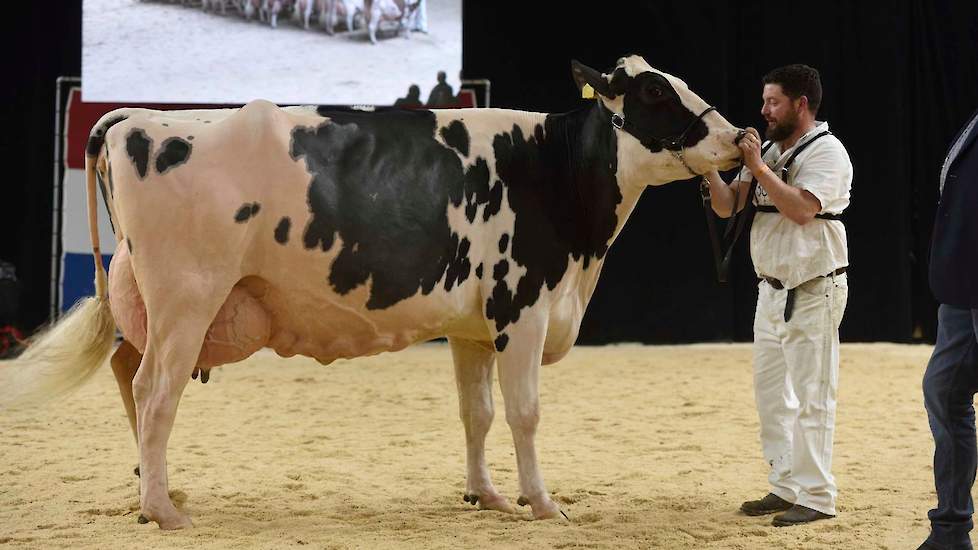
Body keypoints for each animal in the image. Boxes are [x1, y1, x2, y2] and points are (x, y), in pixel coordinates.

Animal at [1, 55, 740, 532]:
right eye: (655, 95)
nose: (739, 138)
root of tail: (134, 119)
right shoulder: (521, 310)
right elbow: (525, 414)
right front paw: (543, 503)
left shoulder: (472, 327)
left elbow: (477, 414)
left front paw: (487, 496)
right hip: (187, 298)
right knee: (156, 390)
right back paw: (162, 511)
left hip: (153, 306)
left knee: (129, 376)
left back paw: (153, 488)